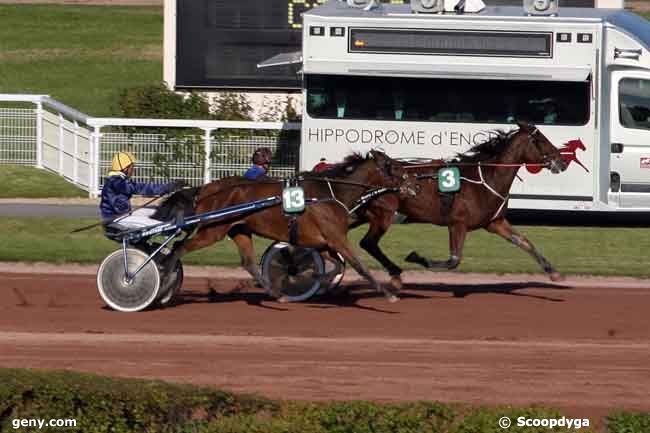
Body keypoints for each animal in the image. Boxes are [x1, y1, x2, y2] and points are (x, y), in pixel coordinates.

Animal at [161, 150, 404, 302]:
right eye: (390, 166)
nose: (406, 183)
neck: (330, 194)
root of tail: (206, 189)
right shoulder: (336, 238)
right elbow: (359, 266)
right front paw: (388, 294)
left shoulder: (323, 243)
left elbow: (336, 266)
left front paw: (315, 278)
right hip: (212, 230)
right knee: (179, 248)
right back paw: (164, 281)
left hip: (239, 230)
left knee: (248, 263)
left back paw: (278, 294)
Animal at [354, 120, 568, 286]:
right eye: (540, 140)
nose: (562, 161)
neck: (486, 179)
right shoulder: (458, 224)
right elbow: (453, 260)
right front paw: (416, 257)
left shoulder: (494, 222)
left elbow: (524, 241)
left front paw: (554, 273)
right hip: (383, 214)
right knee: (368, 242)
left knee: (365, 242)